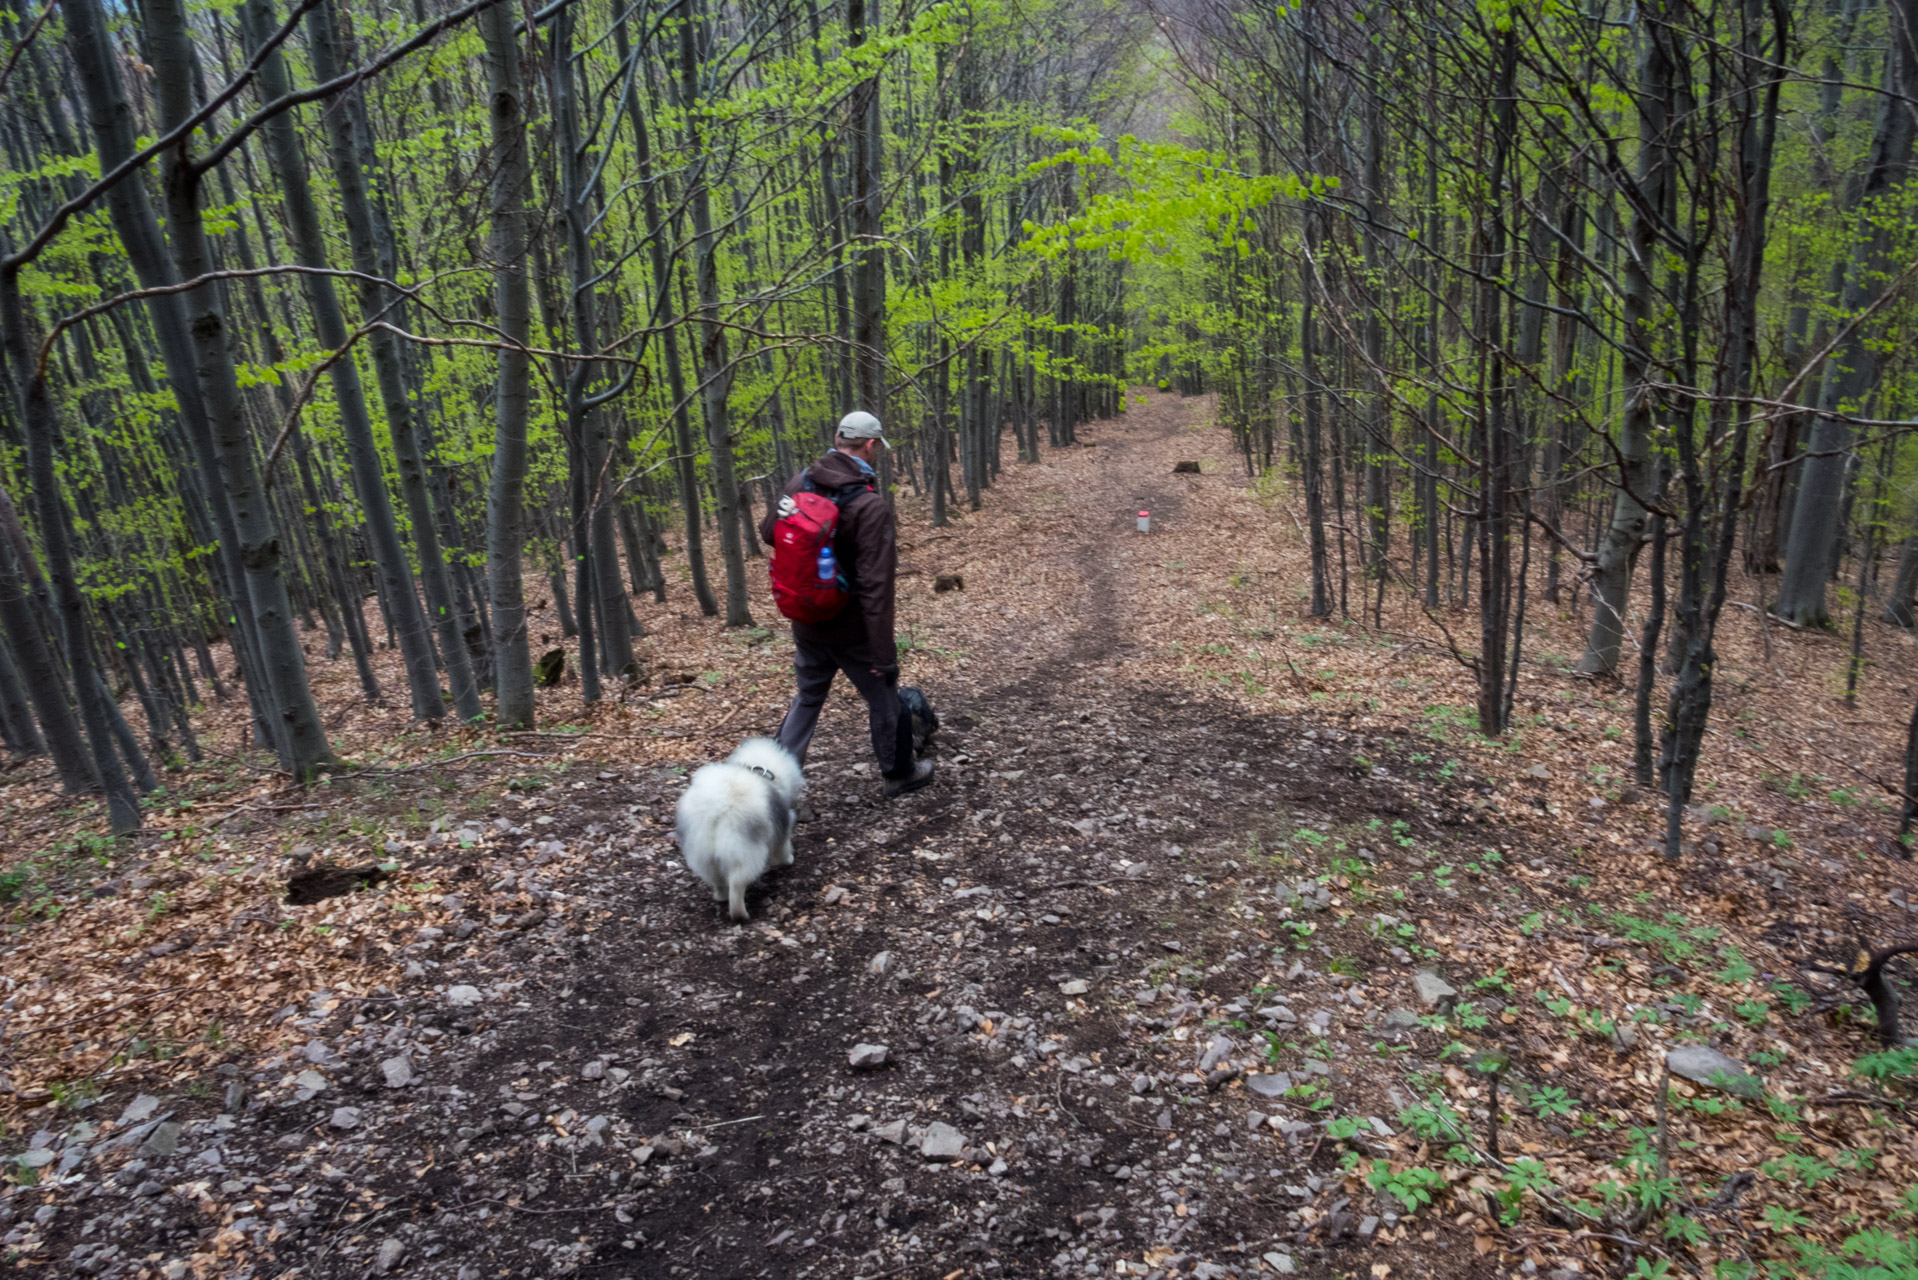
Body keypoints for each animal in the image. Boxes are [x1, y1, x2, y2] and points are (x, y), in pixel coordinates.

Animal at [678, 740, 805, 921]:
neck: (762, 770)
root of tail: (717, 808)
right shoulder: (783, 828)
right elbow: (783, 850)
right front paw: (789, 860)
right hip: (745, 855)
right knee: (737, 887)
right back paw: (741, 914)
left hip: (704, 856)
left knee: (718, 882)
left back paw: (721, 897)